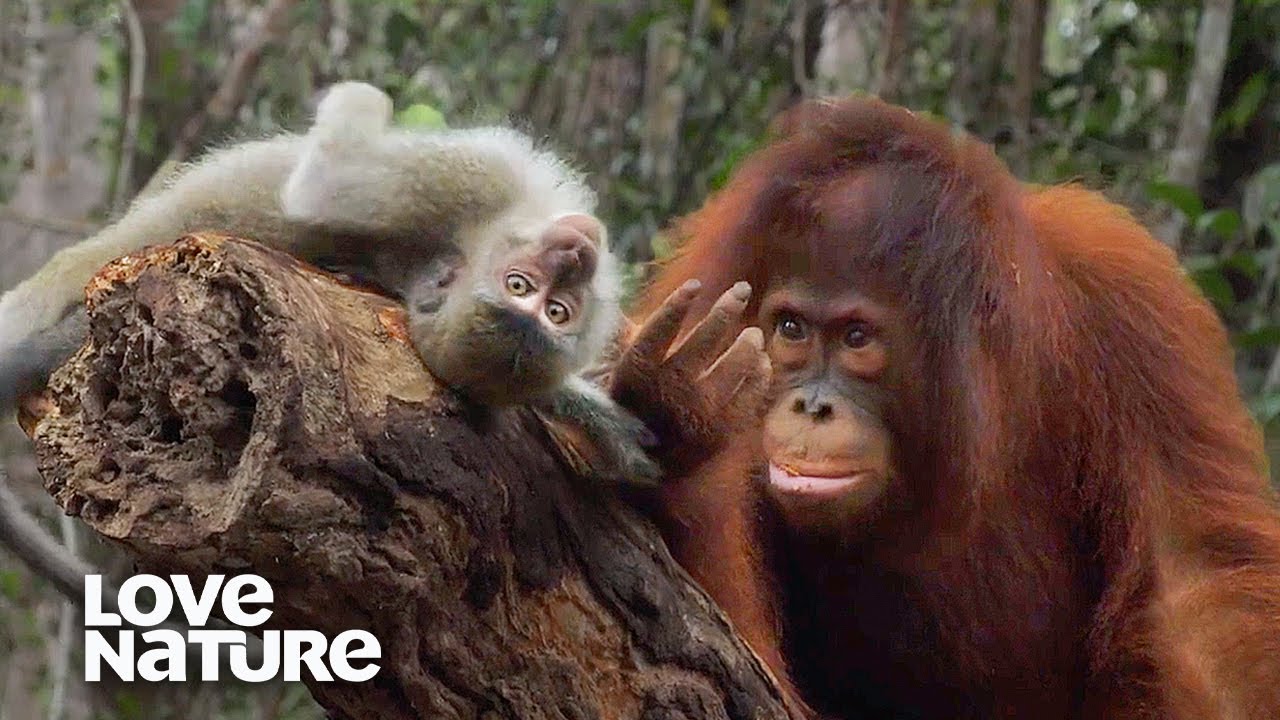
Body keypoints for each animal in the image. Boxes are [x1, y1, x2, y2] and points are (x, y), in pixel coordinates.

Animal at [0, 82, 658, 602]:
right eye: (521, 286)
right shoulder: (459, 186)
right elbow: (327, 183)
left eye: (556, 312)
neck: (478, 238)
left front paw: (600, 422)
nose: (575, 254)